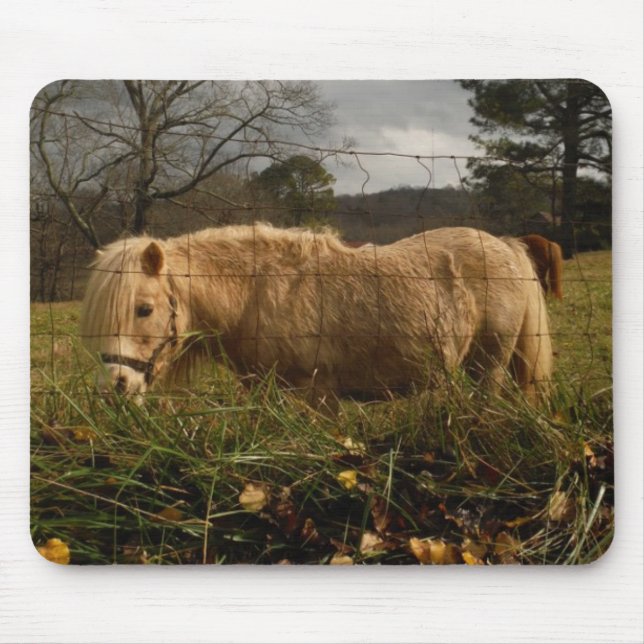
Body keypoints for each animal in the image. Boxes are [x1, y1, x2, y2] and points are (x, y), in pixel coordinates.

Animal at [80, 225, 552, 409]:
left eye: (144, 309)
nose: (114, 388)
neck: (255, 293)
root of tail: (506, 245)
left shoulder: (318, 394)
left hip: (489, 367)